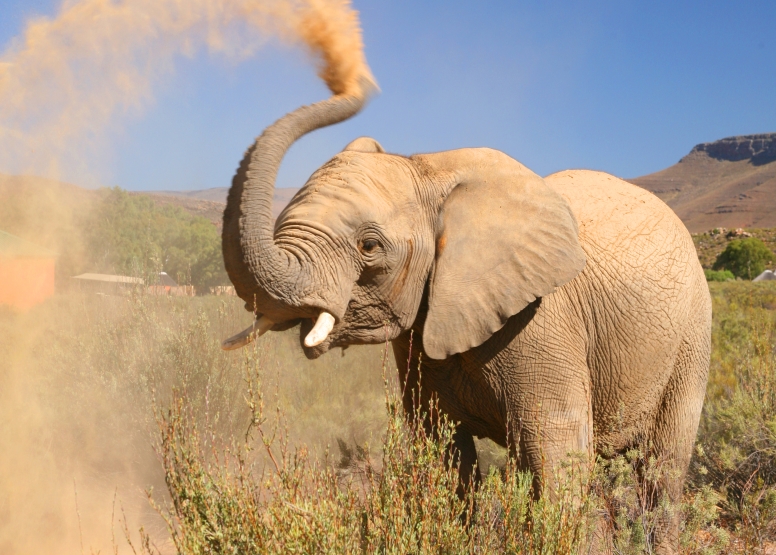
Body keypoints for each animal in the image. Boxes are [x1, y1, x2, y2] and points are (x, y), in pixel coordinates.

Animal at [220, 80, 708, 552]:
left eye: (369, 246)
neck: (431, 169)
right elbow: (442, 452)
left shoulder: (542, 320)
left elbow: (555, 455)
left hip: (692, 333)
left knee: (663, 467)